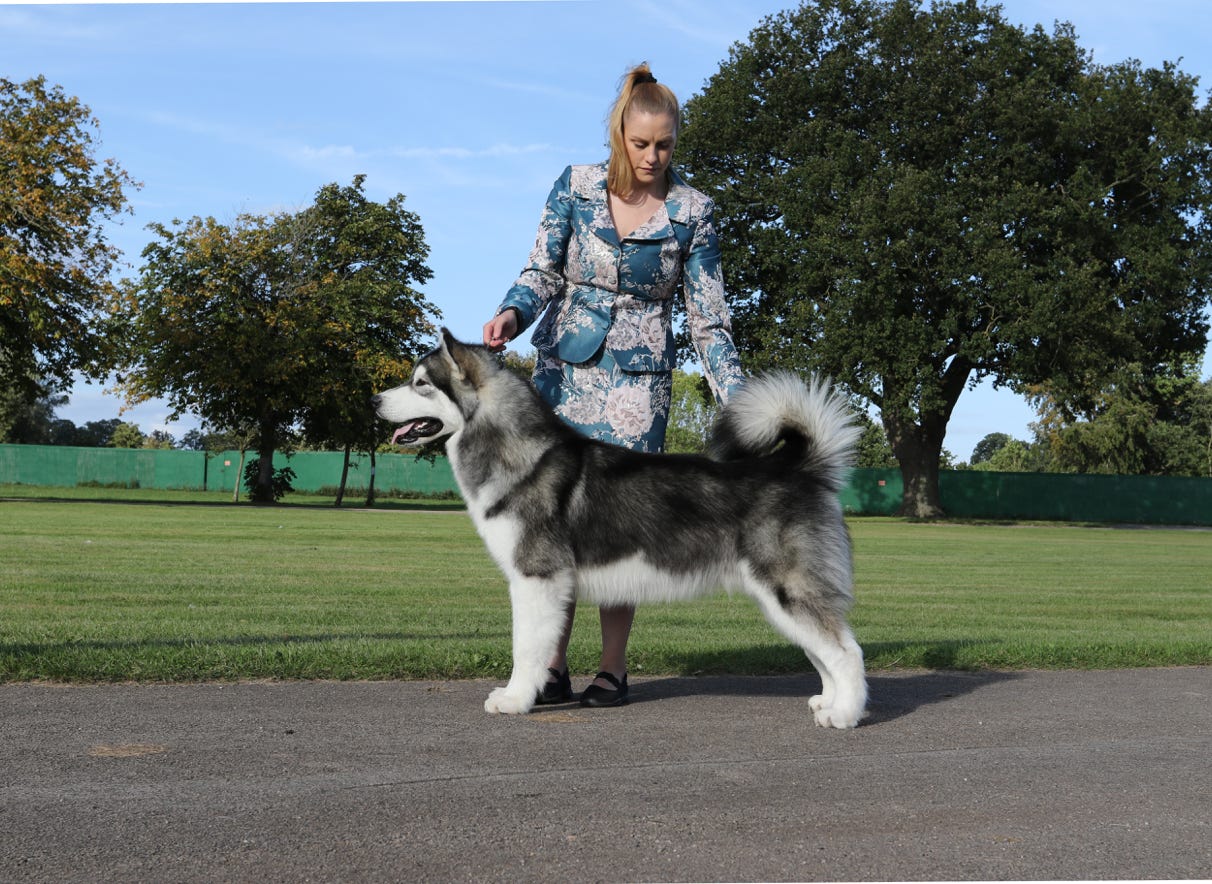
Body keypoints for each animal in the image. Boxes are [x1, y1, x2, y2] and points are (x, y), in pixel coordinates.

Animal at [373, 329, 867, 728]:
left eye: (421, 384)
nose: (374, 400)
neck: (518, 453)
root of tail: (798, 468)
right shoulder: (546, 585)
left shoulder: (536, 579)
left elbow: (525, 647)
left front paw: (513, 700)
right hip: (780, 599)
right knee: (824, 651)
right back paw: (827, 702)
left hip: (786, 590)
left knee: (846, 652)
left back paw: (844, 715)